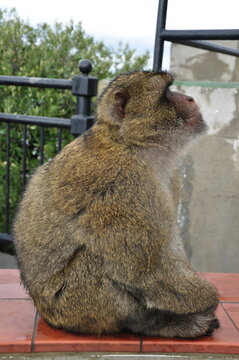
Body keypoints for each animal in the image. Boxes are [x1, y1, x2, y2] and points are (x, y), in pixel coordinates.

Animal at [13, 70, 219, 338]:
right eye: (167, 93)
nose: (191, 98)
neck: (130, 142)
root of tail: (45, 313)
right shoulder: (122, 182)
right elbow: (146, 270)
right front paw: (208, 300)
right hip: (74, 308)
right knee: (98, 259)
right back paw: (154, 324)